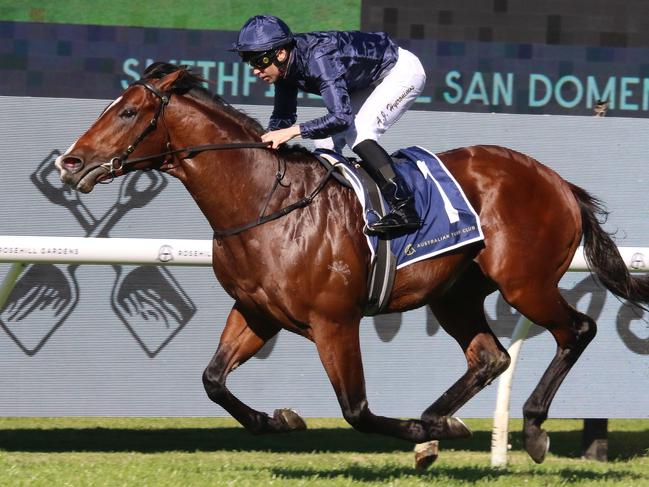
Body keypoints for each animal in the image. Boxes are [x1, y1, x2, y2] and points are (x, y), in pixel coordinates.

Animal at [54, 65, 648, 466]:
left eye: (128, 112)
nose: (70, 162)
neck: (266, 203)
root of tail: (557, 181)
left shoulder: (334, 321)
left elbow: (356, 409)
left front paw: (420, 436)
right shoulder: (255, 311)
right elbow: (213, 381)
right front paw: (279, 419)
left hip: (524, 282)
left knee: (578, 329)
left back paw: (528, 428)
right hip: (454, 294)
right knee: (490, 356)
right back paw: (439, 419)